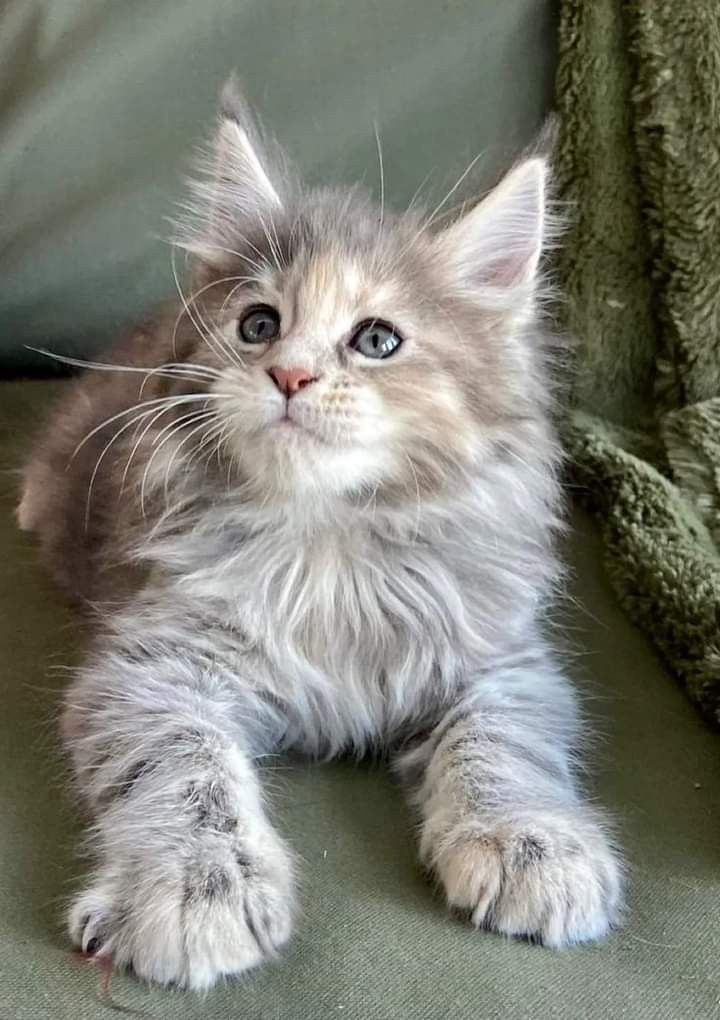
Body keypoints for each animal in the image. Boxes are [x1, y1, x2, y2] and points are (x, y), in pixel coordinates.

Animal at [19, 81, 620, 995]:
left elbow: (506, 741)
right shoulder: (152, 663)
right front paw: (195, 884)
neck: (329, 544)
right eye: (258, 325)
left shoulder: (500, 658)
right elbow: (182, 763)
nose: (290, 374)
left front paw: (532, 840)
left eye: (377, 339)